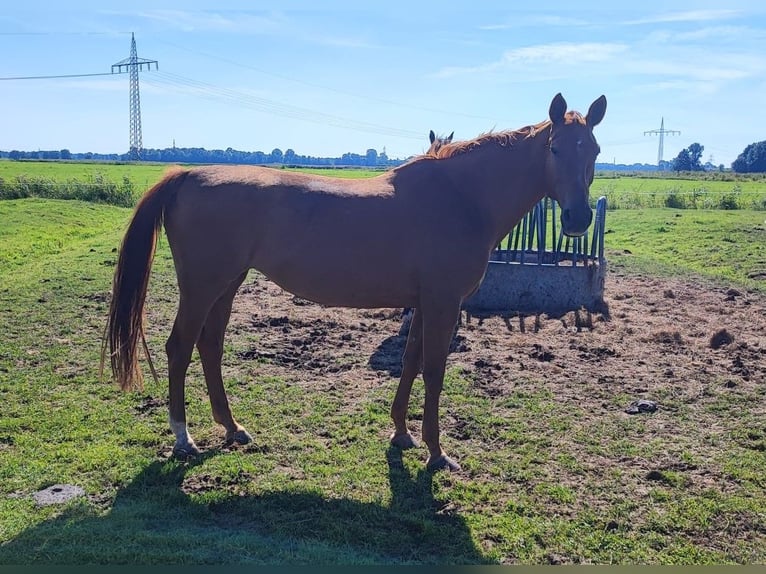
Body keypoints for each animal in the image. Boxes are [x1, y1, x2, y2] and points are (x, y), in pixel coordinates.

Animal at [103, 93, 608, 472]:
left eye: (595, 151)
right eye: (555, 148)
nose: (578, 219)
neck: (461, 197)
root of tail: (186, 175)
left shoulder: (424, 303)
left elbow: (410, 363)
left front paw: (402, 433)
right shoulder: (444, 303)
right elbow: (435, 371)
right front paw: (437, 453)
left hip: (227, 284)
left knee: (209, 346)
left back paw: (232, 427)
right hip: (203, 286)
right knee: (180, 347)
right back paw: (183, 439)